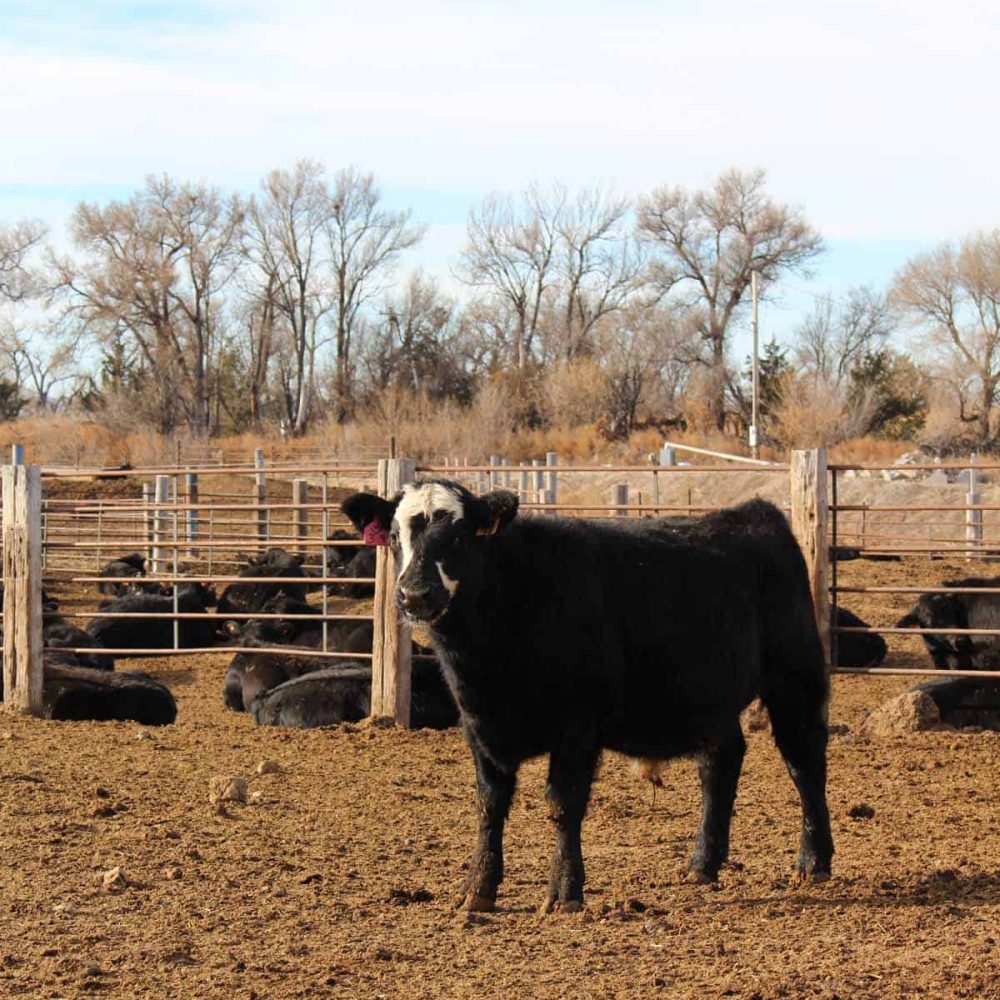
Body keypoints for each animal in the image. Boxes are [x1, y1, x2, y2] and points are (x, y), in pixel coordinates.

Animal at [341, 480, 833, 914]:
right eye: (396, 536)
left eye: (460, 535)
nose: (415, 594)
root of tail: (754, 513)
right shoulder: (478, 725)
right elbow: (489, 806)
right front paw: (477, 890)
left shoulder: (577, 726)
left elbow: (563, 804)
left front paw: (564, 893)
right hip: (709, 699)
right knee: (720, 763)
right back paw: (701, 865)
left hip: (795, 678)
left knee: (804, 763)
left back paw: (813, 862)